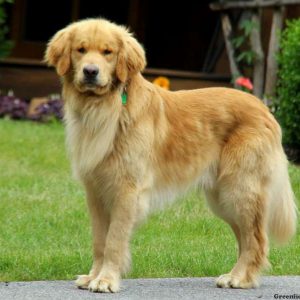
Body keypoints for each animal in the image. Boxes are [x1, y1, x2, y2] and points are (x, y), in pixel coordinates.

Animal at [45, 18, 298, 292]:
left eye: (107, 52)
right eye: (80, 50)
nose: (90, 72)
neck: (107, 109)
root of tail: (265, 109)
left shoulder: (126, 190)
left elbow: (113, 241)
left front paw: (106, 280)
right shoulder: (96, 192)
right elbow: (99, 241)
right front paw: (93, 276)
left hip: (239, 190)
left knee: (256, 239)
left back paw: (240, 278)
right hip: (223, 198)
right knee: (246, 237)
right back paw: (239, 275)